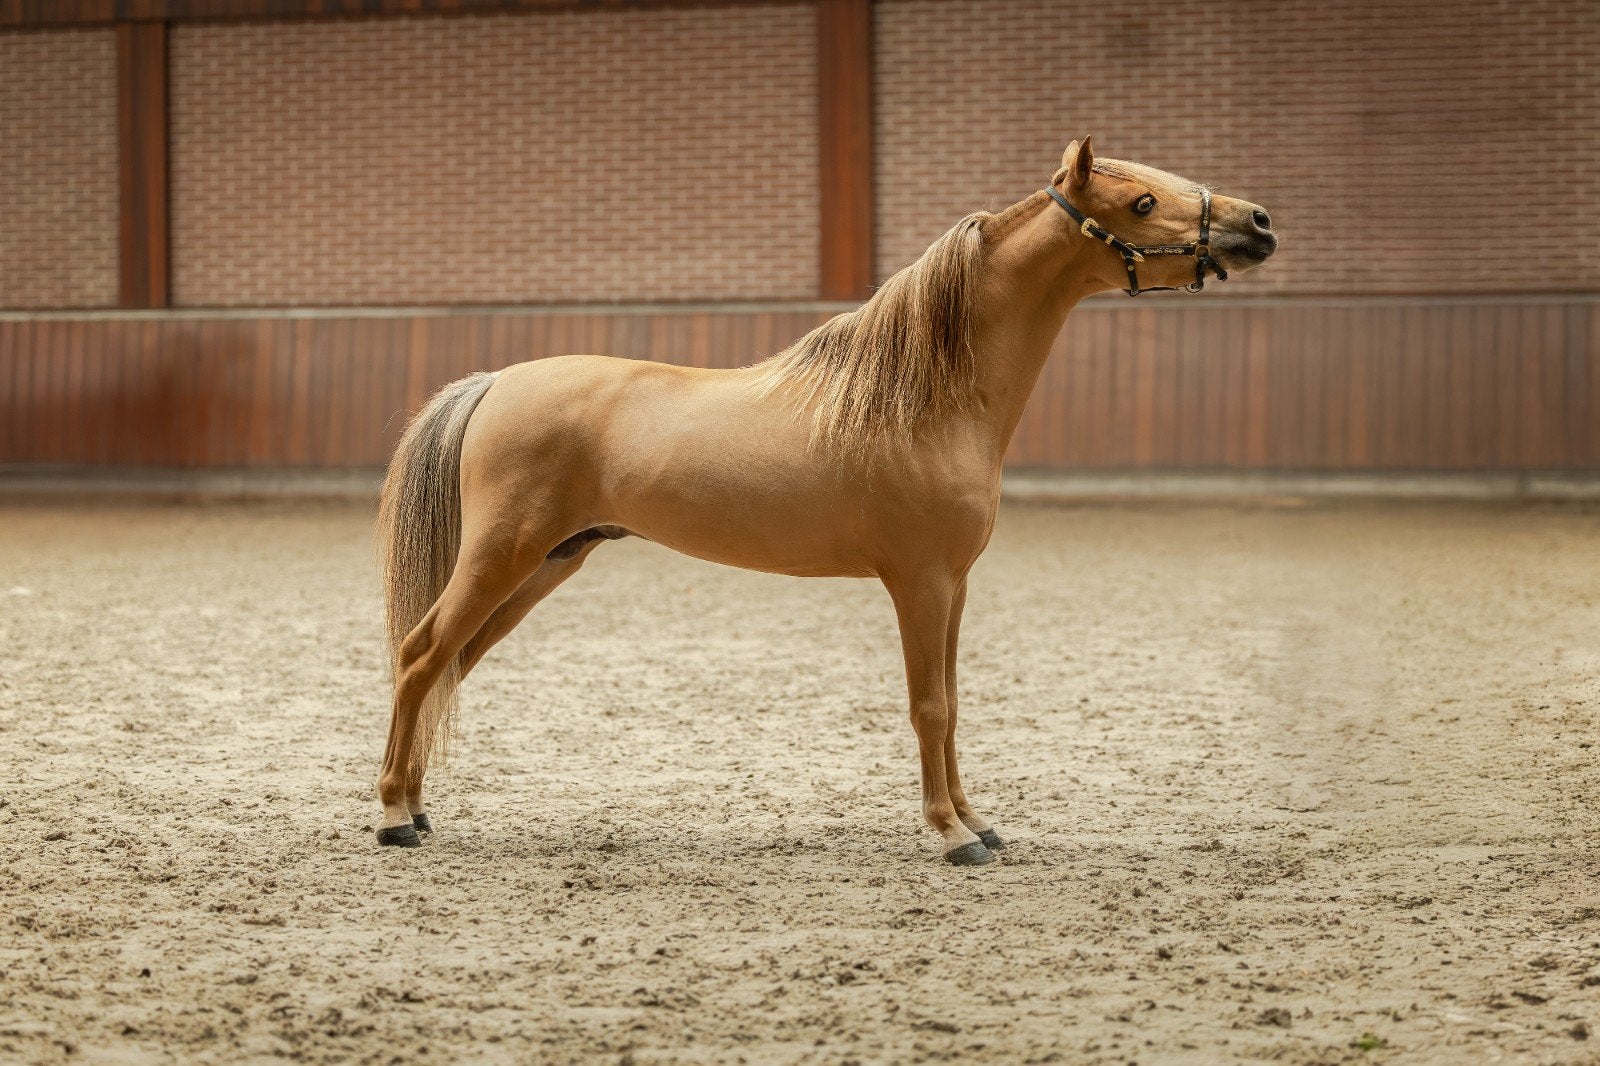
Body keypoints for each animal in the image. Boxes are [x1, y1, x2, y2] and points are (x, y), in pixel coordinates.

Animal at [373, 136, 1277, 866]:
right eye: (1143, 202)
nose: (1259, 223)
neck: (927, 400)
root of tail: (496, 383)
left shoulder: (955, 586)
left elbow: (954, 704)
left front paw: (979, 823)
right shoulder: (919, 583)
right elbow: (930, 707)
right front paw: (950, 835)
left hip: (543, 567)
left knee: (447, 665)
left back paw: (417, 808)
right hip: (502, 558)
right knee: (420, 656)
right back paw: (389, 817)